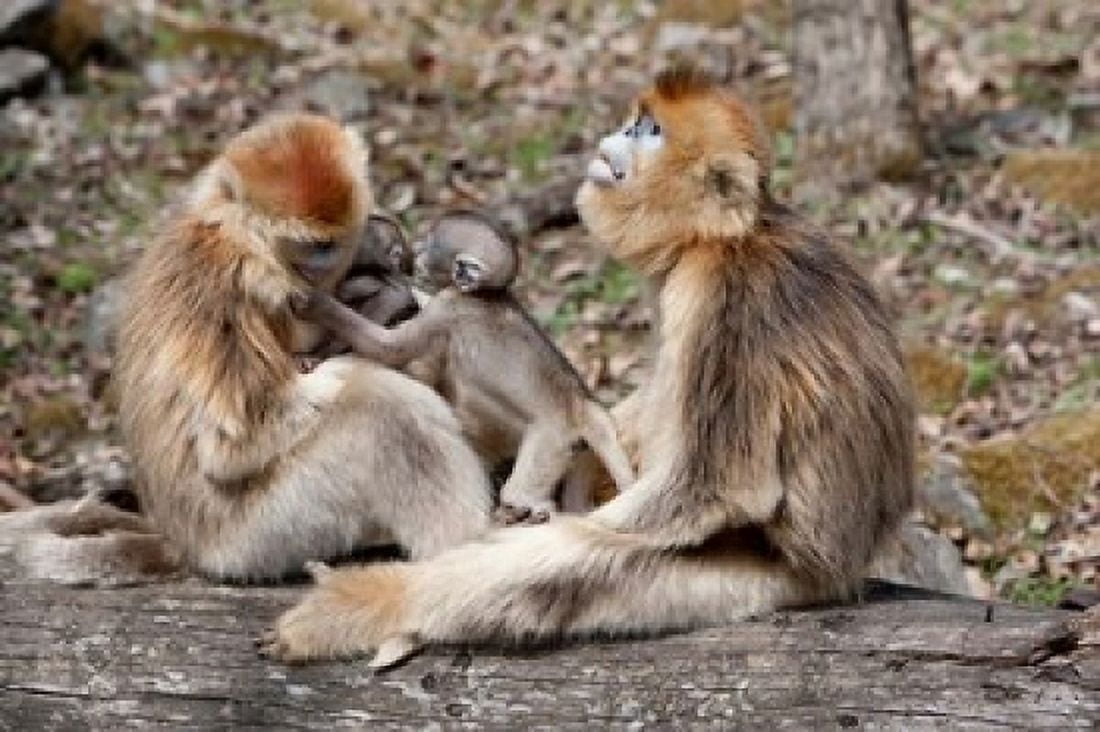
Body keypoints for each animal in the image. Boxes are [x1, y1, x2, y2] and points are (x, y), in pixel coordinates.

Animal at [102, 112, 493, 581]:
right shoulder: (223, 286)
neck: (242, 241)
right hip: (259, 536)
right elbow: (235, 445)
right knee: (386, 409)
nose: (330, 263)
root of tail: (186, 549)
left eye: (333, 243)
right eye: (314, 245)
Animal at [295, 210, 635, 524]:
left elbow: (390, 348)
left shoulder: (447, 305)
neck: (483, 294)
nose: (415, 250)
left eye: (429, 243)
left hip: (553, 437)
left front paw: (316, 304)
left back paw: (527, 504)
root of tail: (582, 404)